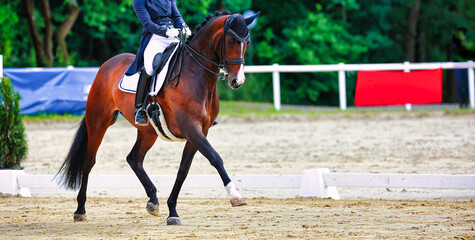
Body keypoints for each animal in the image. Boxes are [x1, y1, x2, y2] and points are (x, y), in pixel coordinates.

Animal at [58, 10, 264, 225]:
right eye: (231, 41)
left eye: (247, 42)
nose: (237, 81)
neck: (197, 74)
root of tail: (108, 64)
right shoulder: (191, 128)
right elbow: (215, 158)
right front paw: (235, 196)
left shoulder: (201, 130)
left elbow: (183, 169)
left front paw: (172, 211)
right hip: (98, 121)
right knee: (89, 161)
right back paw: (80, 210)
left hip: (148, 131)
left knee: (134, 159)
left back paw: (153, 201)